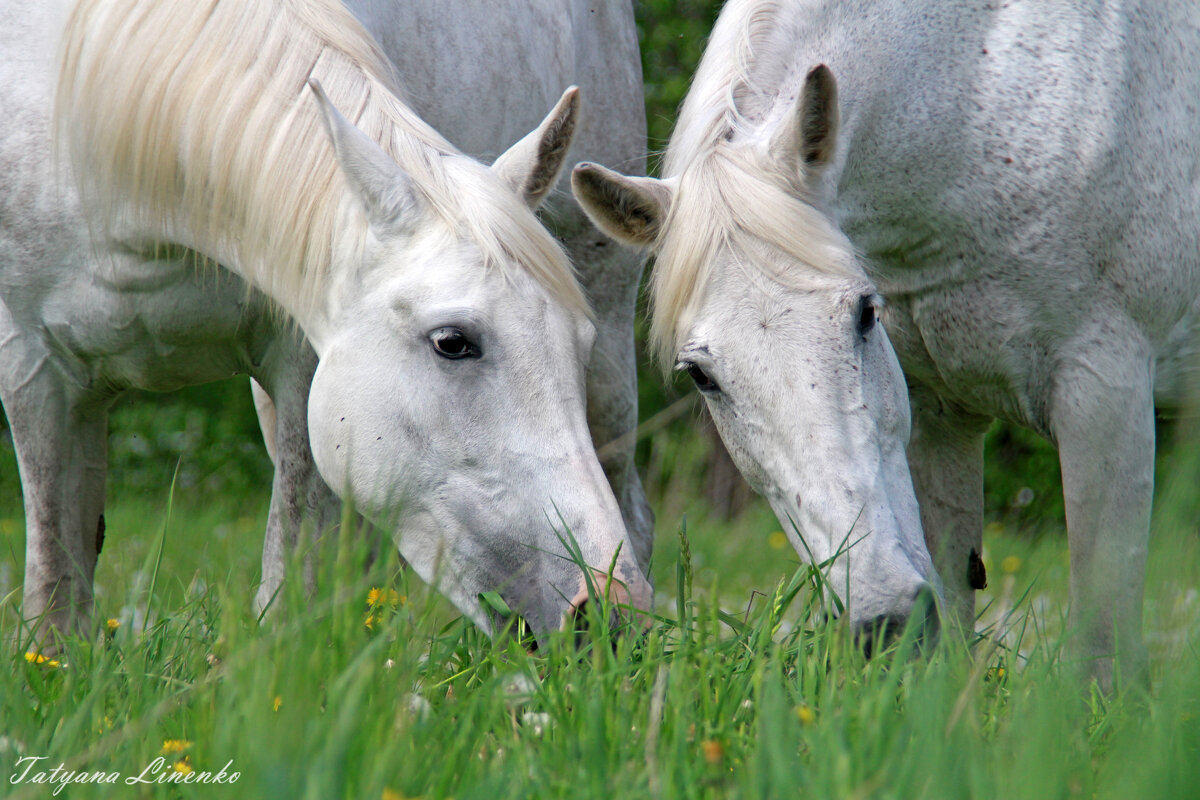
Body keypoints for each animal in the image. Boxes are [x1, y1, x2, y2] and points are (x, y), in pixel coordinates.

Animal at [4, 0, 657, 647]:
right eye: (452, 342)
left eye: (577, 341)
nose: (605, 609)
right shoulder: (37, 375)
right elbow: (54, 593)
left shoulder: (301, 368)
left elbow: (290, 574)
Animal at [573, 0, 1200, 690]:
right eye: (701, 376)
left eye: (864, 314)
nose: (886, 622)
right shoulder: (940, 417)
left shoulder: (1105, 394)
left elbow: (1102, 651)